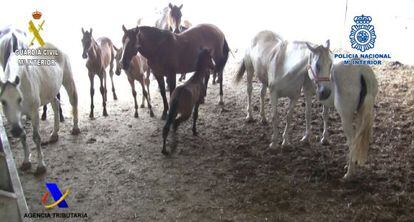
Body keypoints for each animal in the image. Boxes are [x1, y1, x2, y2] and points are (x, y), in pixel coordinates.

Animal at [0, 43, 80, 175]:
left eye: (19, 99)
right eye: (3, 102)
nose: (15, 131)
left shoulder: (34, 113)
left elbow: (36, 137)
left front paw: (41, 166)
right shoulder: (17, 117)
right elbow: (23, 137)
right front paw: (26, 161)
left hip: (68, 80)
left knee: (73, 101)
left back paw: (75, 128)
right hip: (51, 89)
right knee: (55, 104)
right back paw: (54, 134)